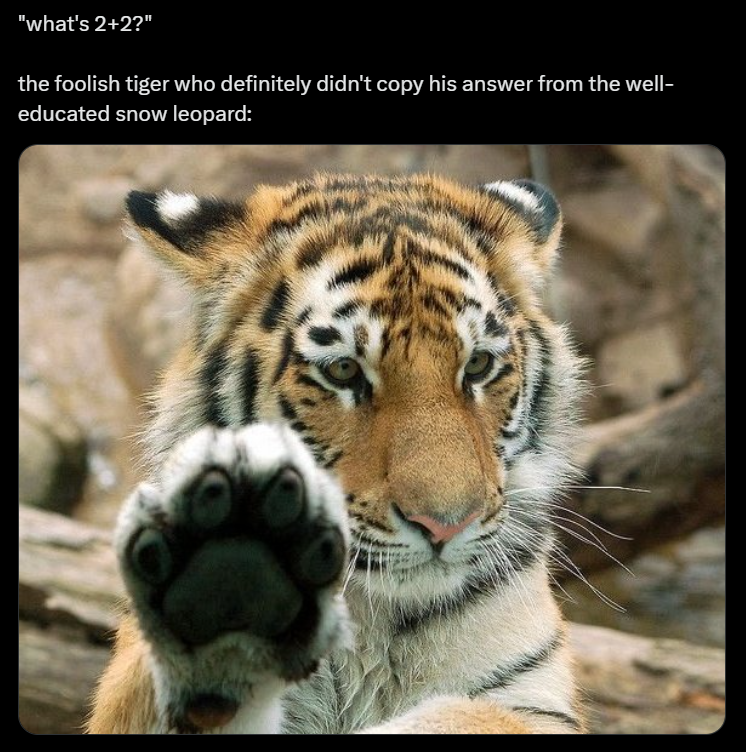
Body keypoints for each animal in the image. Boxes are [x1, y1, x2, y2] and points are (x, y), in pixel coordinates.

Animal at [86, 173, 586, 734]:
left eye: (477, 365)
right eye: (344, 371)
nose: (446, 526)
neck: (373, 623)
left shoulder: (534, 702)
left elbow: (459, 716)